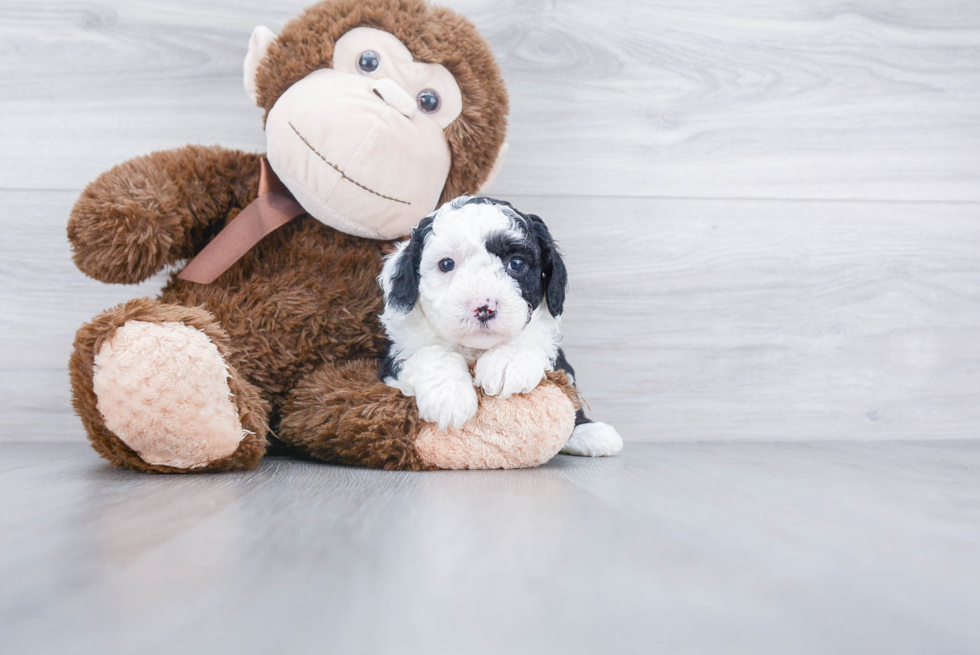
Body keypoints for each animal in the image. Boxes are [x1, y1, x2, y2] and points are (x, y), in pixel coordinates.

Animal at [378, 197, 624, 458]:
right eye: (446, 264)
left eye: (516, 263)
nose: (483, 306)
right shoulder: (395, 359)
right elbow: (431, 352)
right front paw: (448, 395)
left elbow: (535, 343)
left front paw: (507, 362)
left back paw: (592, 433)